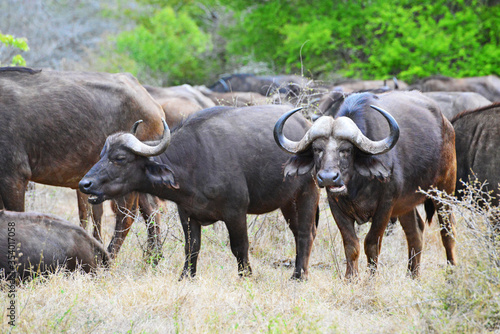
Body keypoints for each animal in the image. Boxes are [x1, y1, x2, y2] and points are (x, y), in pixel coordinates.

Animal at [79, 106, 318, 280]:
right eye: (101, 155)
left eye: (120, 158)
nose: (85, 184)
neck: (193, 161)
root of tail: (306, 126)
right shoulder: (187, 214)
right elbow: (191, 247)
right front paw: (186, 276)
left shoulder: (236, 212)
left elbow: (239, 247)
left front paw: (247, 276)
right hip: (287, 202)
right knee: (297, 232)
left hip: (308, 192)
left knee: (306, 233)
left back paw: (299, 276)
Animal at [276, 90, 458, 278]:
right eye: (317, 149)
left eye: (346, 150)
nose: (327, 177)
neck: (357, 186)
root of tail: (446, 124)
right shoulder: (336, 207)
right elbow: (351, 244)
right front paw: (350, 278)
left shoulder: (385, 206)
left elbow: (371, 244)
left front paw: (371, 278)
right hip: (406, 204)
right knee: (415, 231)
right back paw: (412, 275)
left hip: (444, 191)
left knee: (447, 230)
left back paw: (451, 272)